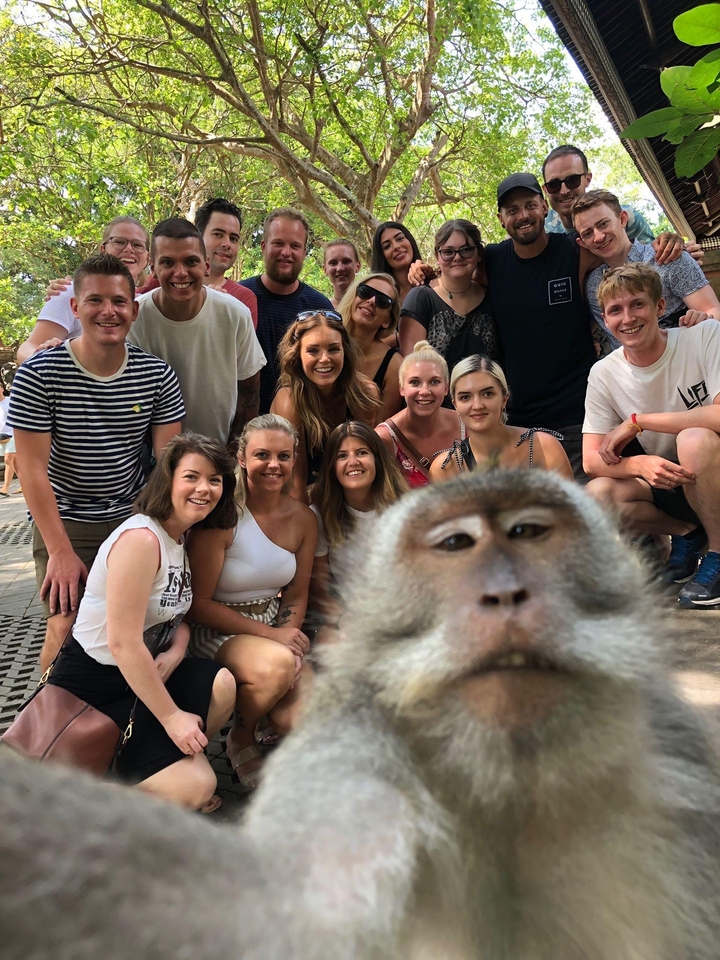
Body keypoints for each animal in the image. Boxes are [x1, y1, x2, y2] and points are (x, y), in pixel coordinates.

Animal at [0, 469, 718, 960]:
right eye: (456, 543)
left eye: (528, 532)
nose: (505, 593)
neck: (507, 776)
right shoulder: (353, 748)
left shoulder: (675, 760)